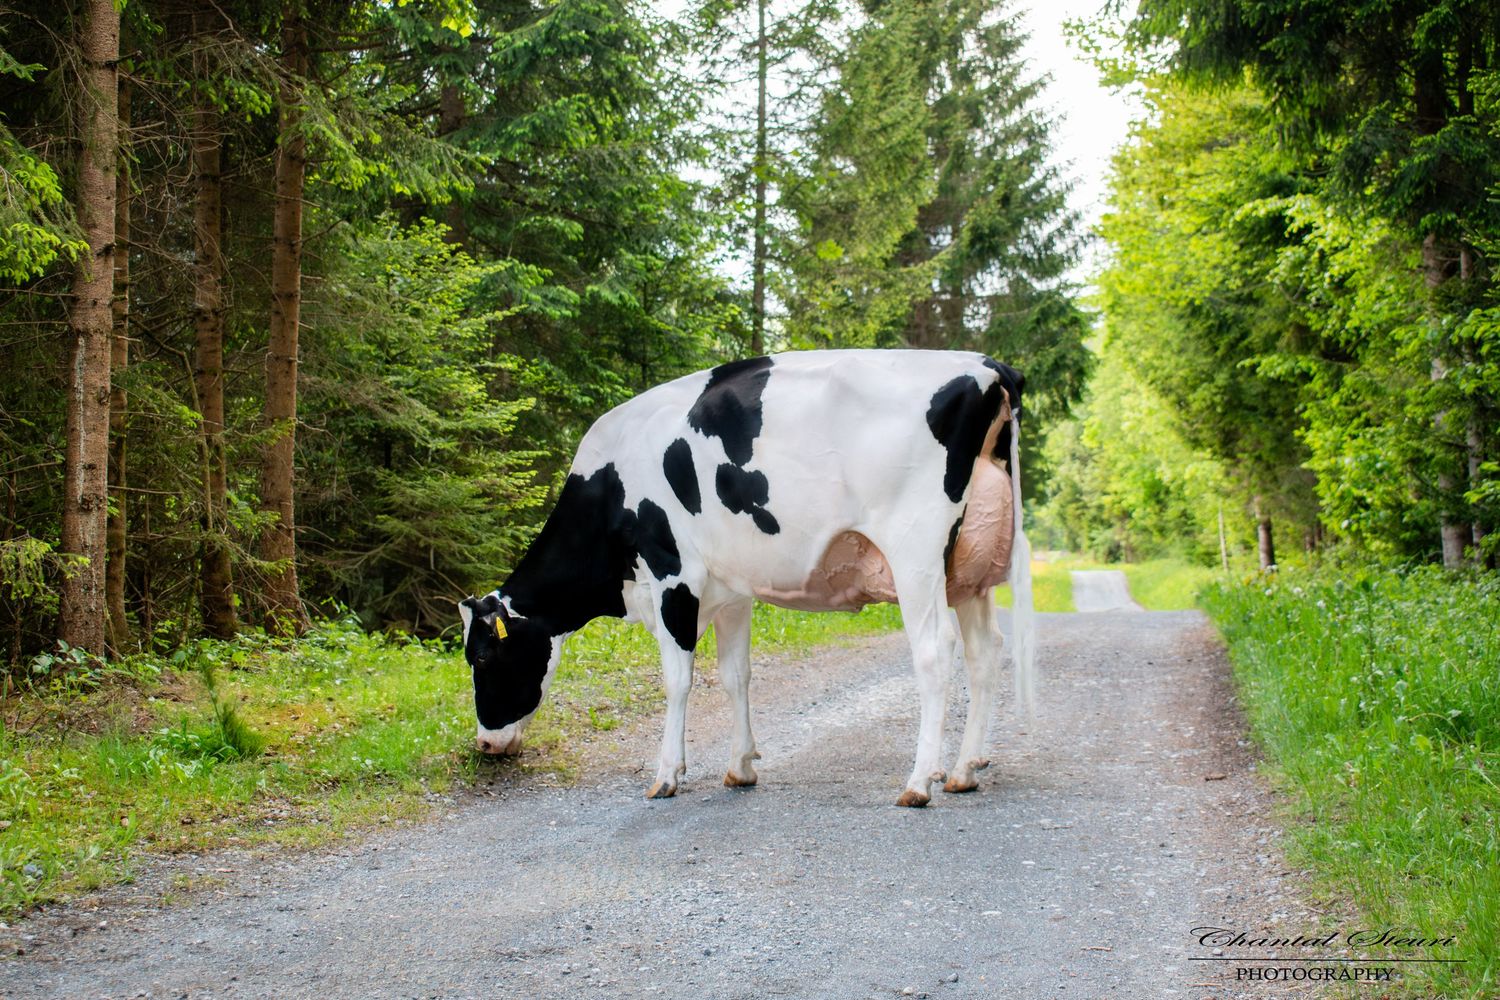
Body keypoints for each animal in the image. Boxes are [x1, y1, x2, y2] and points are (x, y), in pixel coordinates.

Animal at [459, 349, 1035, 807]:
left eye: (481, 657)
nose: (484, 743)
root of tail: (986, 366)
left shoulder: (673, 575)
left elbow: (678, 680)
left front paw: (666, 775)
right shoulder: (729, 588)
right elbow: (735, 674)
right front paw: (740, 767)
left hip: (916, 551)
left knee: (936, 650)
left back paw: (919, 782)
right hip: (968, 572)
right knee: (986, 650)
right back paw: (963, 770)